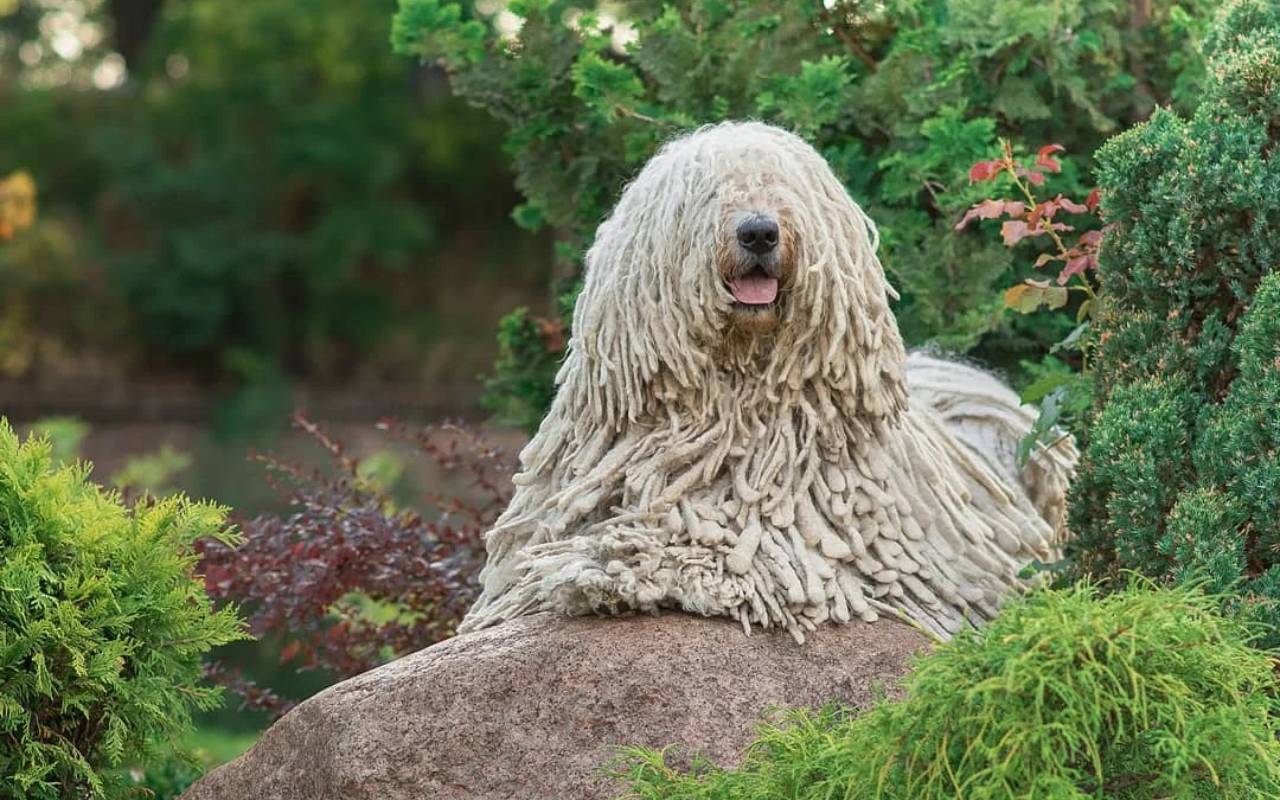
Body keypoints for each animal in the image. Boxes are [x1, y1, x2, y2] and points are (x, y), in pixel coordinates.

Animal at [455, 120, 1075, 642]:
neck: (735, 397)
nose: (759, 231)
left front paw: (617, 564)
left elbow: (727, 554)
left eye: (784, 190)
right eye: (708, 195)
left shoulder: (802, 541)